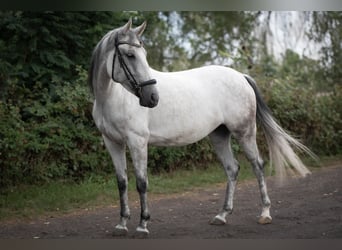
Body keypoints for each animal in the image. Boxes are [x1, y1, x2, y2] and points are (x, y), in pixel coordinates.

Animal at [88, 19, 312, 236]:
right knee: (232, 169)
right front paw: (121, 225)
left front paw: (143, 225)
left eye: (143, 55)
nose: (152, 97)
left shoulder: (138, 142)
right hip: (219, 135)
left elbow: (142, 183)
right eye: (130, 55)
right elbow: (122, 182)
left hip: (245, 132)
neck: (113, 97)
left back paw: (265, 213)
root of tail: (241, 76)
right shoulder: (113, 143)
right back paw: (222, 215)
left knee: (257, 165)